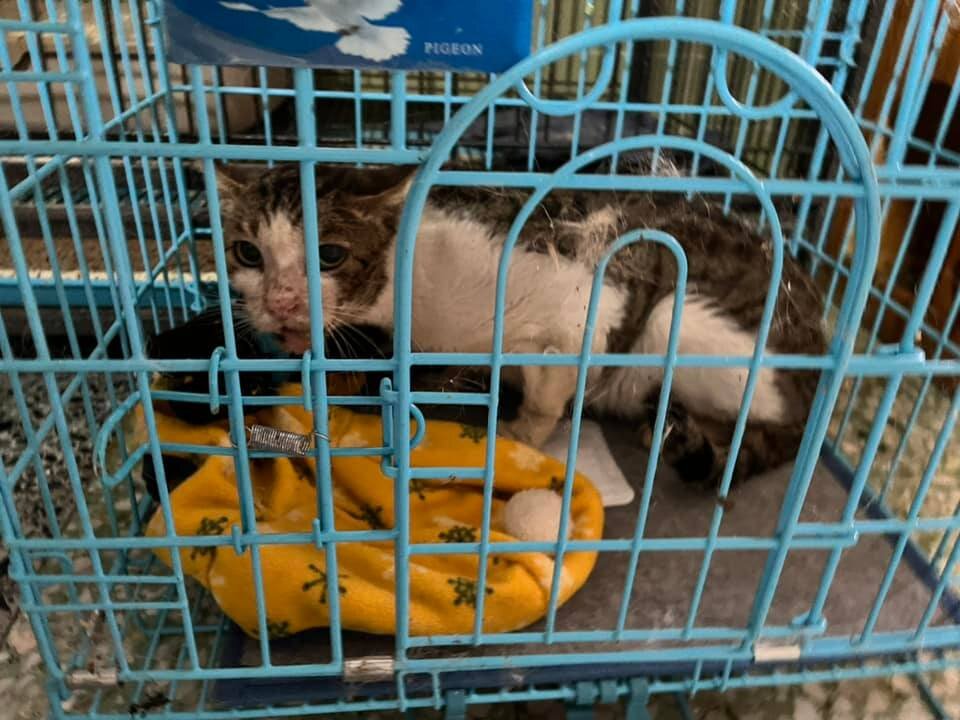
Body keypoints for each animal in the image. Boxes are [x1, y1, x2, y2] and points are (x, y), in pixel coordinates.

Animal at [216, 163, 827, 486]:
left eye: (330, 256)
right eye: (247, 254)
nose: (281, 302)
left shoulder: (587, 300)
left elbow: (547, 387)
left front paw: (519, 436)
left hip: (680, 321)